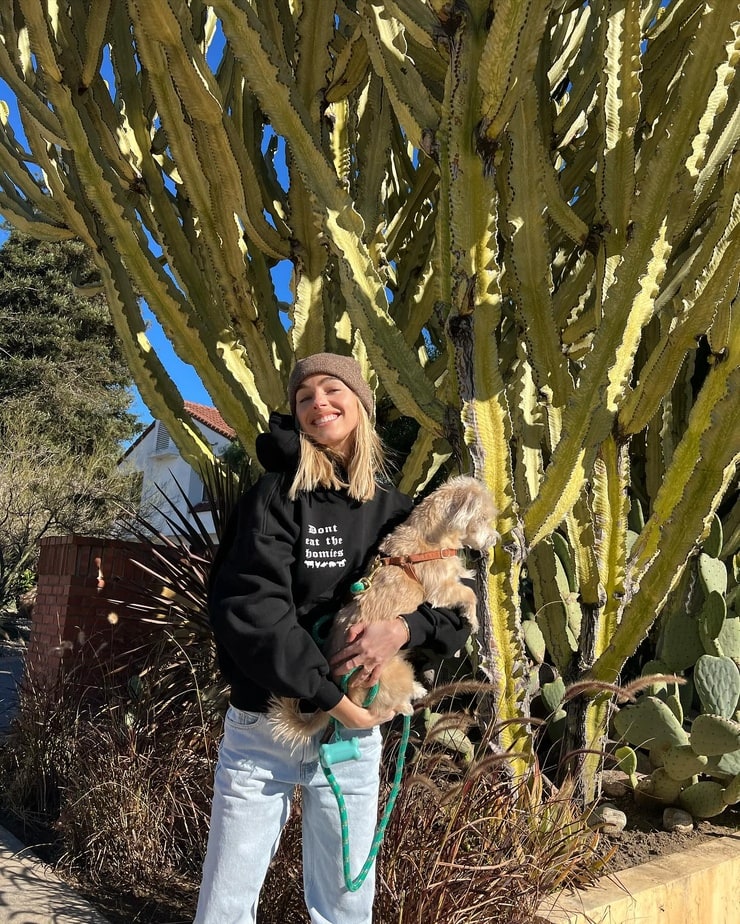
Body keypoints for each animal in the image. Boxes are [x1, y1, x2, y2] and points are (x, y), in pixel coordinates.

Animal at [268, 472, 500, 748]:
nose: (496, 539)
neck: (431, 537)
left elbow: (465, 582)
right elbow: (469, 594)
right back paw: (410, 701)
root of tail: (343, 687)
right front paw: (473, 619)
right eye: (483, 518)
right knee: (386, 707)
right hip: (394, 674)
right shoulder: (440, 589)